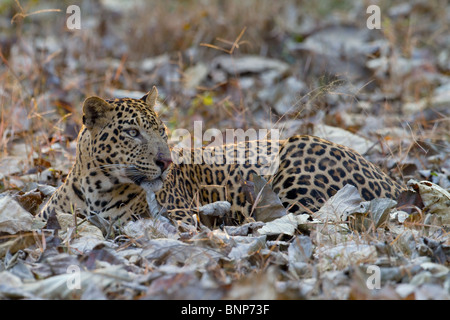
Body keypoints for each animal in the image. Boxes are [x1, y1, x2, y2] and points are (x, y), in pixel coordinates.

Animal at [37, 86, 404, 229]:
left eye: (162, 131)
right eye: (131, 133)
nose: (165, 162)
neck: (96, 187)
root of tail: (392, 182)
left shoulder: (180, 219)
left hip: (299, 154)